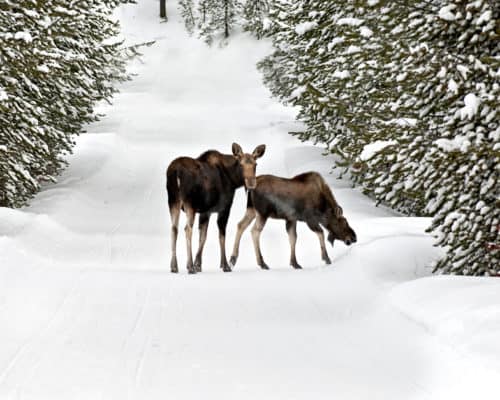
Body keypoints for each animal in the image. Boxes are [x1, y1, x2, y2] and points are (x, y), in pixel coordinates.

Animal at [166, 142, 266, 274]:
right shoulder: (224, 207)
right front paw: (225, 265)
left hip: (173, 201)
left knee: (174, 228)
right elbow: (221, 236)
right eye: (241, 164)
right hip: (189, 204)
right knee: (187, 229)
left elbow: (203, 237)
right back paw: (189, 266)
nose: (251, 182)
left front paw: (198, 265)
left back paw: (174, 266)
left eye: (255, 164)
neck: (233, 181)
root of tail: (176, 172)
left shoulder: (205, 211)